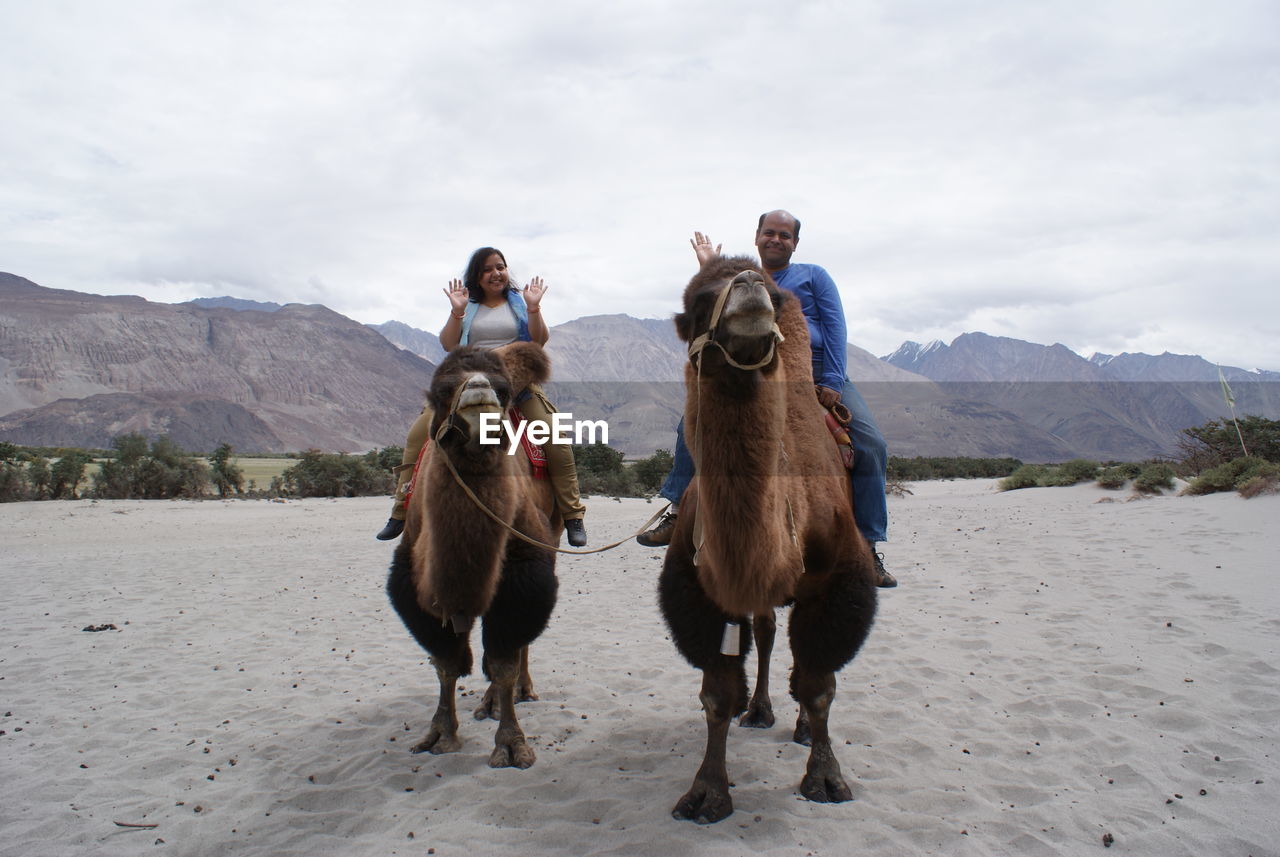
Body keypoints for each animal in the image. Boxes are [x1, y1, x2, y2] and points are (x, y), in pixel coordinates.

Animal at [381, 342, 558, 772]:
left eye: (504, 390)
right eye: (441, 390)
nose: (479, 390)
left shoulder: (524, 575)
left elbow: (504, 660)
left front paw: (511, 744)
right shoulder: (415, 580)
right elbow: (445, 659)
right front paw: (439, 733)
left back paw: (514, 694)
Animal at [660, 255, 880, 823]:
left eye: (774, 297)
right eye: (698, 302)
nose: (751, 288)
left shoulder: (838, 582)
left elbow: (821, 686)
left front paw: (825, 778)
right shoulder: (700, 588)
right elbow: (716, 693)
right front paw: (707, 791)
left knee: (802, 664)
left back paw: (798, 726)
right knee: (765, 632)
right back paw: (758, 709)